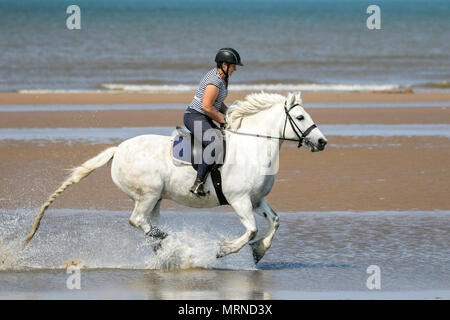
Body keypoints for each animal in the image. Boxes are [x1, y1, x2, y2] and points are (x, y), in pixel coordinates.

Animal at [24, 91, 326, 264]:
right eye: (300, 116)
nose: (322, 142)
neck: (252, 146)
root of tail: (117, 150)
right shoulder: (239, 200)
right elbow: (250, 230)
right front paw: (223, 250)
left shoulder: (257, 200)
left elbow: (274, 222)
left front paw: (259, 251)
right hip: (148, 194)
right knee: (138, 221)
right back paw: (175, 246)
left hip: (154, 199)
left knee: (147, 225)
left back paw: (168, 250)